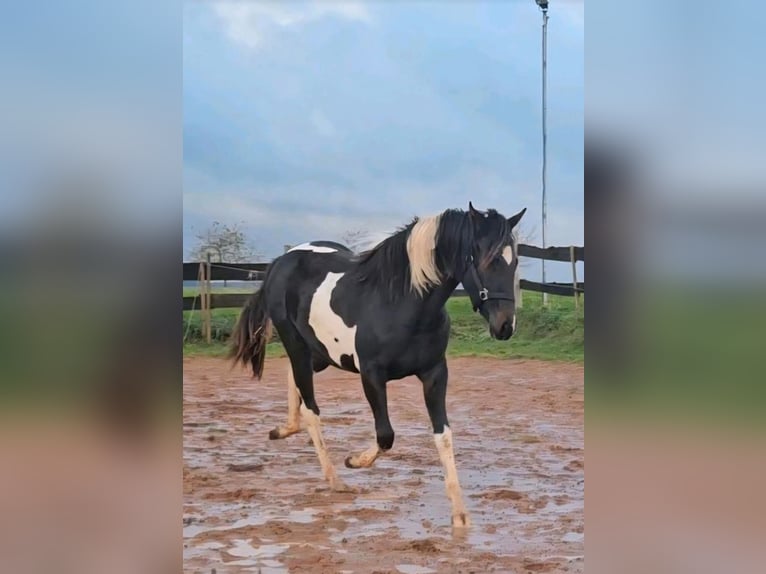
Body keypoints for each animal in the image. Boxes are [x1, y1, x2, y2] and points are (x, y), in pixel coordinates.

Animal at [229, 202, 526, 527]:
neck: (401, 303)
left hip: (321, 354)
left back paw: (284, 430)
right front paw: (353, 460)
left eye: (514, 261)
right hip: (297, 344)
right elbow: (386, 435)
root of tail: (282, 260)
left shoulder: (435, 374)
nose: (505, 326)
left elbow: (443, 436)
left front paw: (460, 515)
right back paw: (335, 479)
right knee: (311, 408)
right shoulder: (371, 376)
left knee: (293, 380)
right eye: (487, 259)